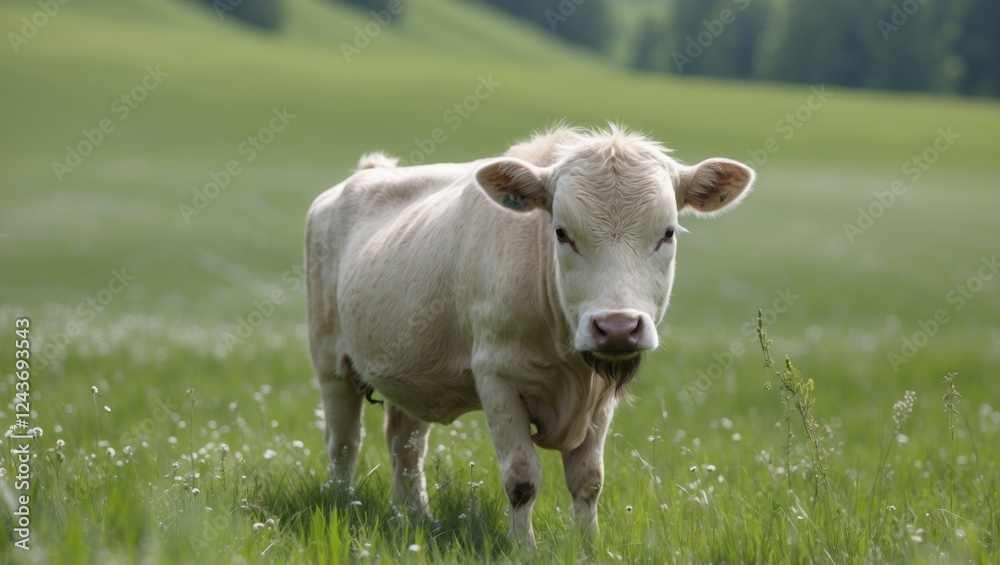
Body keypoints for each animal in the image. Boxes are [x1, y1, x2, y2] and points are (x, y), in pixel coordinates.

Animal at [306, 124, 755, 546]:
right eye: (561, 232)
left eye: (668, 232)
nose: (617, 328)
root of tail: (368, 172)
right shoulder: (495, 378)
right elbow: (521, 479)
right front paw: (525, 549)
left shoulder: (600, 398)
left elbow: (588, 480)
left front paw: (586, 547)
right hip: (329, 362)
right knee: (344, 443)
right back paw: (342, 503)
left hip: (411, 374)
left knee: (405, 448)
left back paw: (416, 517)